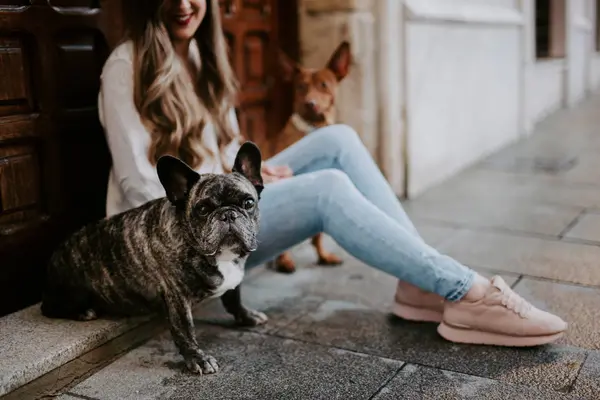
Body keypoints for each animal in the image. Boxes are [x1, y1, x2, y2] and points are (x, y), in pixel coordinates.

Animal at [262, 40, 352, 274]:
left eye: (324, 85)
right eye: (301, 87)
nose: (310, 103)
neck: (314, 129)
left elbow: (318, 234)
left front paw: (322, 256)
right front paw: (284, 260)